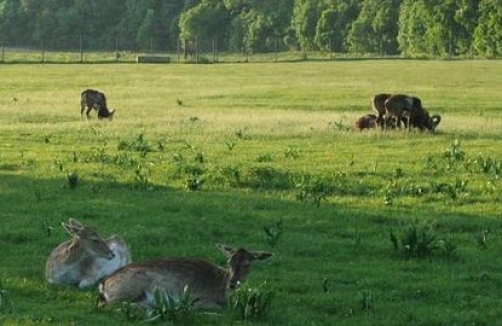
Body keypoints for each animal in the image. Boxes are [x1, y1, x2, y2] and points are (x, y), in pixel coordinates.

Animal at [96, 243, 272, 310]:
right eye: (229, 261)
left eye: (247, 264)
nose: (233, 283)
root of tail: (103, 284)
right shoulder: (199, 296)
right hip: (136, 284)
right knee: (109, 305)